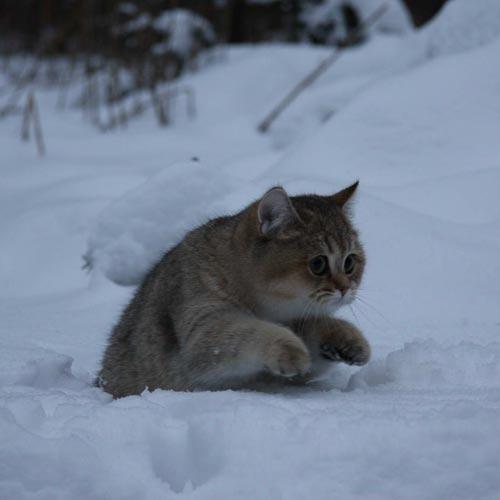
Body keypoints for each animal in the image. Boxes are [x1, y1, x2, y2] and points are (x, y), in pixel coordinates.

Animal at [98, 182, 372, 396]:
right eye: (318, 264)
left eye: (350, 262)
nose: (346, 288)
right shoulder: (201, 329)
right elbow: (249, 330)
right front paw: (289, 349)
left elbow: (317, 326)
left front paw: (346, 338)